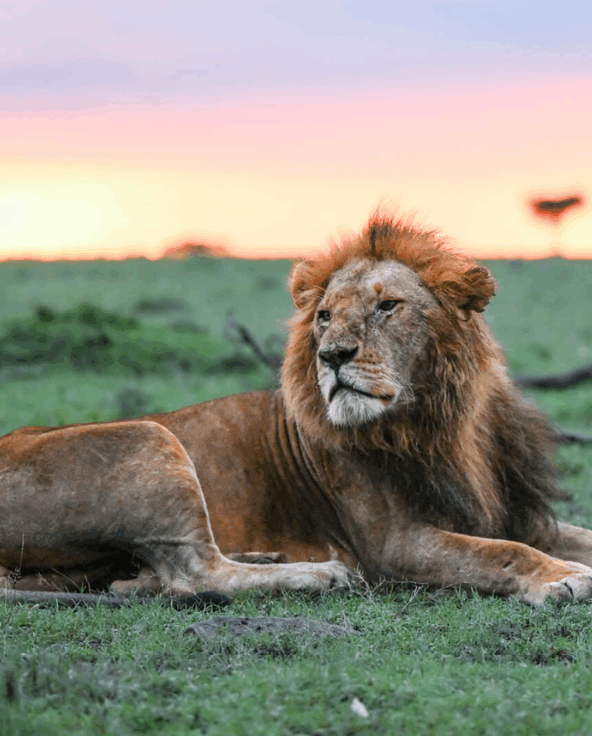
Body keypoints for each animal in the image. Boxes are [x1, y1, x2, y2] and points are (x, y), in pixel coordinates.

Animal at [3, 212, 592, 607]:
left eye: (387, 306)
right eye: (325, 316)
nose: (331, 356)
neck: (444, 427)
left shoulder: (521, 513)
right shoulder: (392, 545)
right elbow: (502, 552)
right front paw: (562, 578)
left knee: (148, 578)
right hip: (150, 437)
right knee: (194, 574)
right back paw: (321, 573)